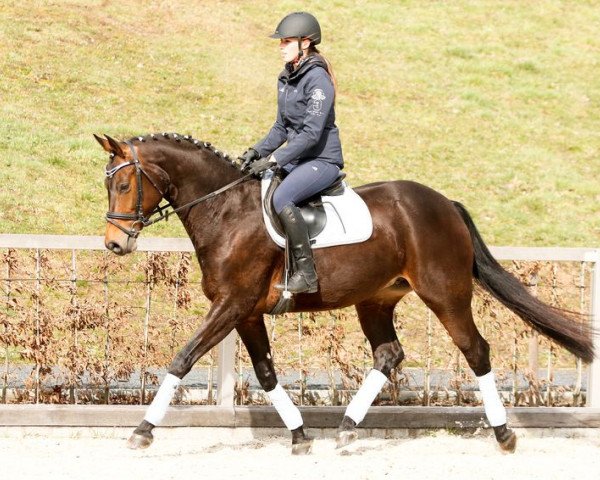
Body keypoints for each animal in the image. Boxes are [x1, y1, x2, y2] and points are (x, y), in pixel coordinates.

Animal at [95, 133, 596, 456]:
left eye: (123, 184)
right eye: (108, 184)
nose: (115, 244)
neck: (227, 211)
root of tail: (445, 204)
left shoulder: (231, 305)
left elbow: (182, 359)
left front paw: (142, 431)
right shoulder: (246, 312)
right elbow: (267, 374)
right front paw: (300, 437)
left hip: (445, 293)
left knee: (476, 350)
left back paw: (504, 435)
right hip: (375, 298)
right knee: (389, 354)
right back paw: (347, 428)